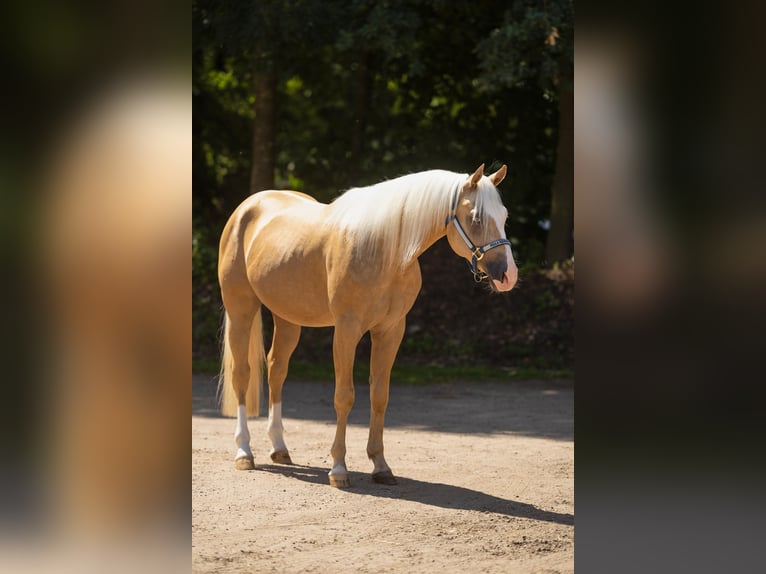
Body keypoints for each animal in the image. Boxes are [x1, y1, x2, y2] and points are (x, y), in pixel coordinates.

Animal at [217, 163, 517, 487]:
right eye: (476, 218)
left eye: (504, 216)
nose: (508, 275)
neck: (386, 252)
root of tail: (248, 207)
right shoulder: (346, 330)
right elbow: (344, 396)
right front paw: (338, 469)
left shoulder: (391, 331)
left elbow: (379, 396)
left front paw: (381, 466)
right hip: (240, 310)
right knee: (242, 374)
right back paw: (244, 453)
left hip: (287, 317)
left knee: (276, 370)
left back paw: (279, 449)